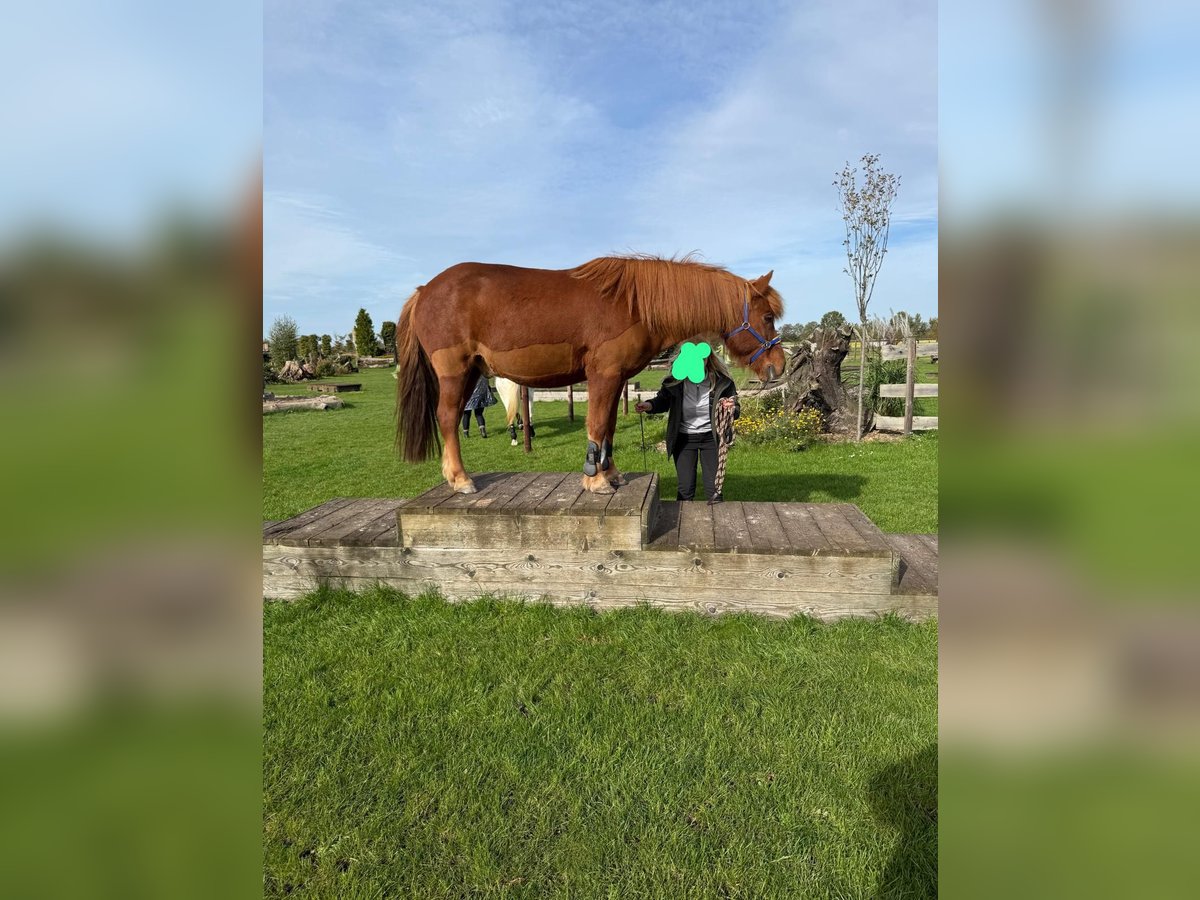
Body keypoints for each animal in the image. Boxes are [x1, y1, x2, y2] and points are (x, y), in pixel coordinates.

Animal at [394, 254, 786, 494]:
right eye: (768, 317)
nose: (778, 367)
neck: (634, 304)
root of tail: (425, 291)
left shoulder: (616, 379)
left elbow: (609, 426)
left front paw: (610, 473)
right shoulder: (603, 375)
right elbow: (596, 424)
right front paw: (595, 481)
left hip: (472, 373)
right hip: (455, 372)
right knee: (447, 417)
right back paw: (460, 479)